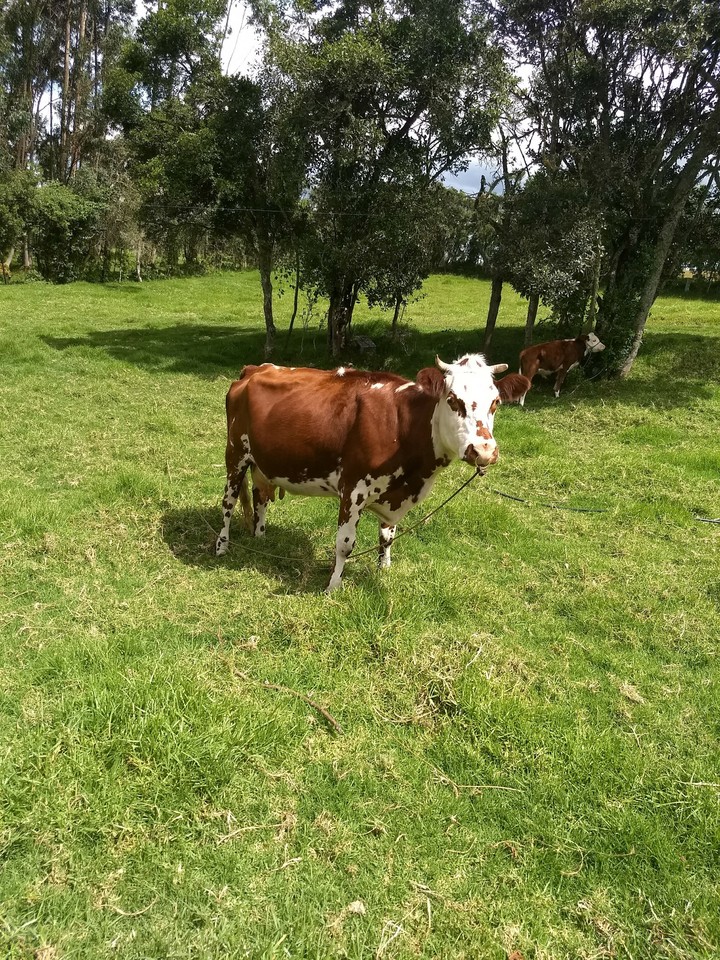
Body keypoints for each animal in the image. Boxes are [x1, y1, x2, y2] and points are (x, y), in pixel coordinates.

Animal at [215, 355, 529, 591]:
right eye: (453, 400)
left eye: (496, 402)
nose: (484, 450)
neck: (404, 424)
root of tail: (255, 369)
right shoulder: (353, 487)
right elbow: (344, 544)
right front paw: (333, 586)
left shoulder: (393, 491)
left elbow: (387, 536)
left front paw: (384, 568)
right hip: (235, 454)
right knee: (228, 503)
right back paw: (221, 546)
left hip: (261, 463)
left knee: (260, 497)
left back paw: (260, 536)